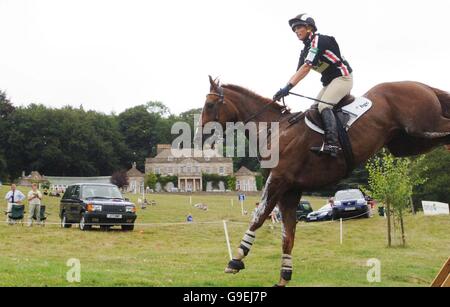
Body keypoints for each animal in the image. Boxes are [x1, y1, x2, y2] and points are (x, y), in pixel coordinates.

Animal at [201, 76, 450, 286]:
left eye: (210, 105)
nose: (201, 136)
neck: (275, 130)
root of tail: (421, 85)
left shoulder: (278, 180)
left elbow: (259, 216)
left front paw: (236, 259)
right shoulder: (290, 190)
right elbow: (287, 235)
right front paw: (284, 277)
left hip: (423, 126)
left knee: (443, 130)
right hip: (404, 143)